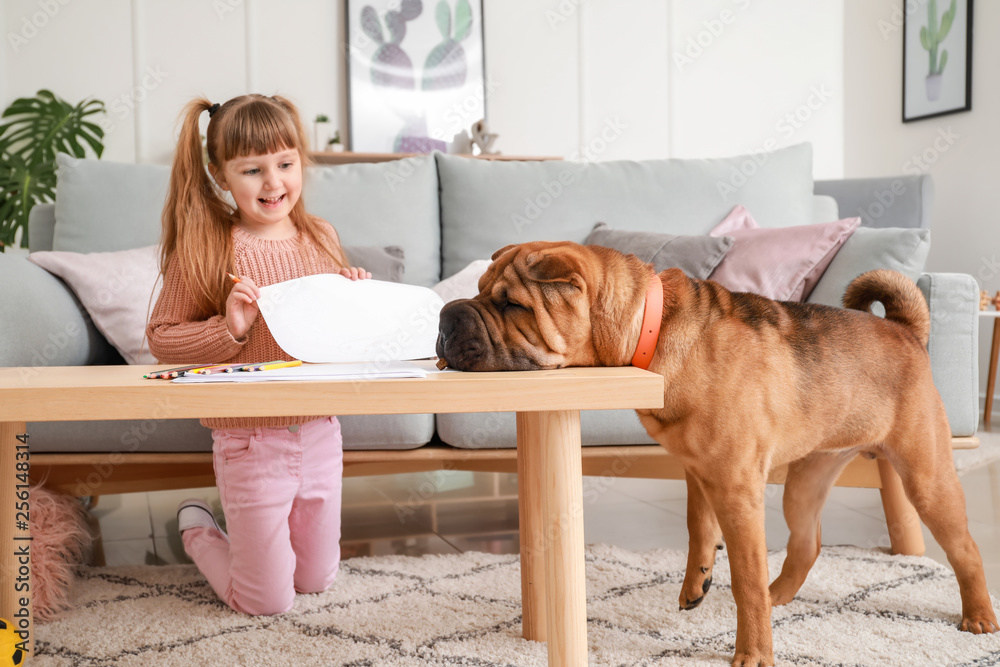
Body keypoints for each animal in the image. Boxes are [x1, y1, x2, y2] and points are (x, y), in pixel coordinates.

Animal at [438, 241, 1000, 667]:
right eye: (481, 289)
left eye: (512, 304)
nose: (446, 318)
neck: (652, 328)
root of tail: (907, 330)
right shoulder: (699, 471)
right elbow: (696, 528)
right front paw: (697, 583)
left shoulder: (734, 486)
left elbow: (744, 579)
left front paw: (753, 652)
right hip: (805, 482)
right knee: (807, 543)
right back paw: (780, 595)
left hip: (925, 475)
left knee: (965, 549)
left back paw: (978, 616)